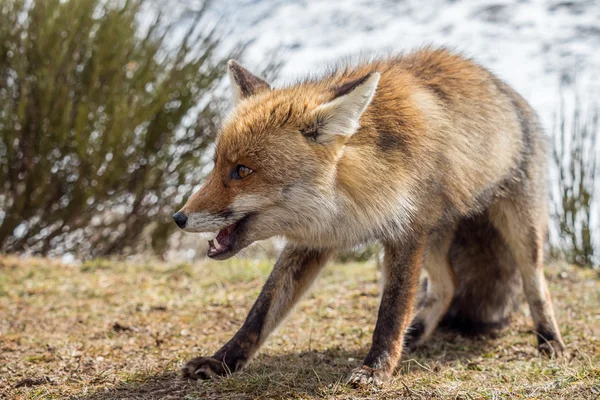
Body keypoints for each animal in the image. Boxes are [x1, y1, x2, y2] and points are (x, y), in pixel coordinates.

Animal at [175, 48, 568, 386]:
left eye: (242, 170)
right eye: (215, 165)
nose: (179, 218)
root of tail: (507, 89)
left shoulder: (407, 233)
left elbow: (391, 311)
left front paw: (376, 369)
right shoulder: (313, 240)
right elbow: (260, 311)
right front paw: (222, 361)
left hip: (519, 229)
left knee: (536, 284)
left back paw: (550, 340)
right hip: (436, 237)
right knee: (448, 285)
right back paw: (417, 334)